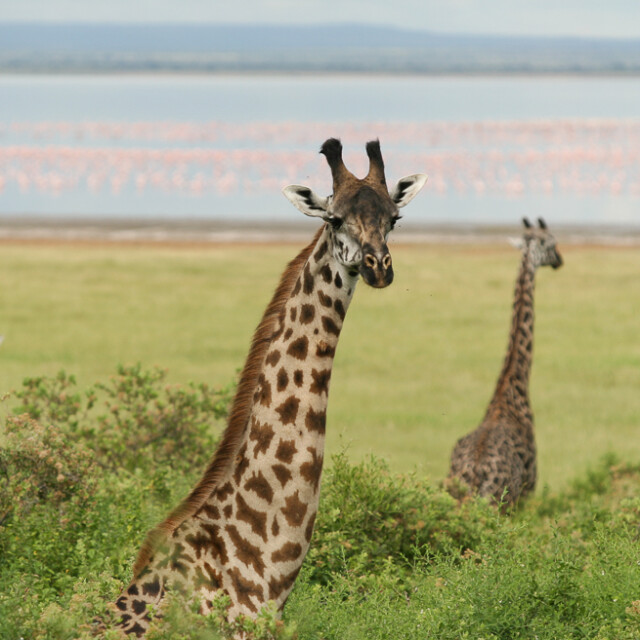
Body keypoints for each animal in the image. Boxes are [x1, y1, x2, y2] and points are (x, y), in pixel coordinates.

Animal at [447, 217, 562, 508]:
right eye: (552, 243)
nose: (560, 260)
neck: (510, 390)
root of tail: (475, 471)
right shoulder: (530, 489)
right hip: (502, 503)